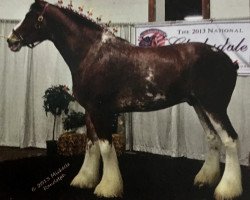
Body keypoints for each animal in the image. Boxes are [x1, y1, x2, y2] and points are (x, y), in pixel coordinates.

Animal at [7, 0, 242, 199]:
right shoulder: (90, 111)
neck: (92, 54)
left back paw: (227, 190)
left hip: (215, 107)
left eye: (32, 16)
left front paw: (107, 187)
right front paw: (85, 179)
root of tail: (229, 62)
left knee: (230, 139)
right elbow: (91, 144)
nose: (11, 40)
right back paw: (205, 179)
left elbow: (105, 147)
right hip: (200, 106)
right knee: (213, 138)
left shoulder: (100, 110)